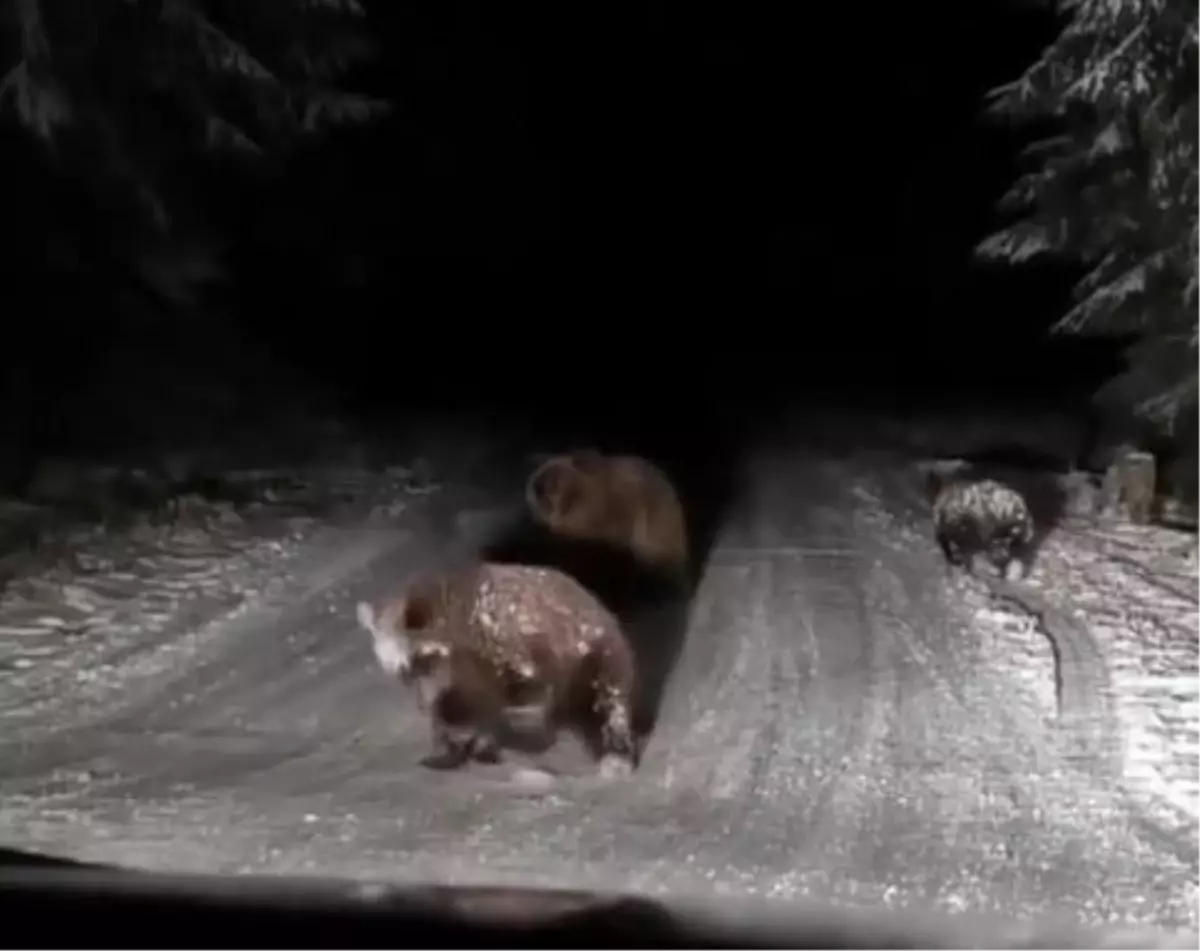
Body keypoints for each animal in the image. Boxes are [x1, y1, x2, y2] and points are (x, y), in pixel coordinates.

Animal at [352, 561, 643, 778]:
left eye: (401, 647)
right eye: (382, 651)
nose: (401, 674)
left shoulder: (495, 637)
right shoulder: (446, 667)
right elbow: (449, 702)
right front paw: (454, 745)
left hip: (593, 656)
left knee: (601, 705)